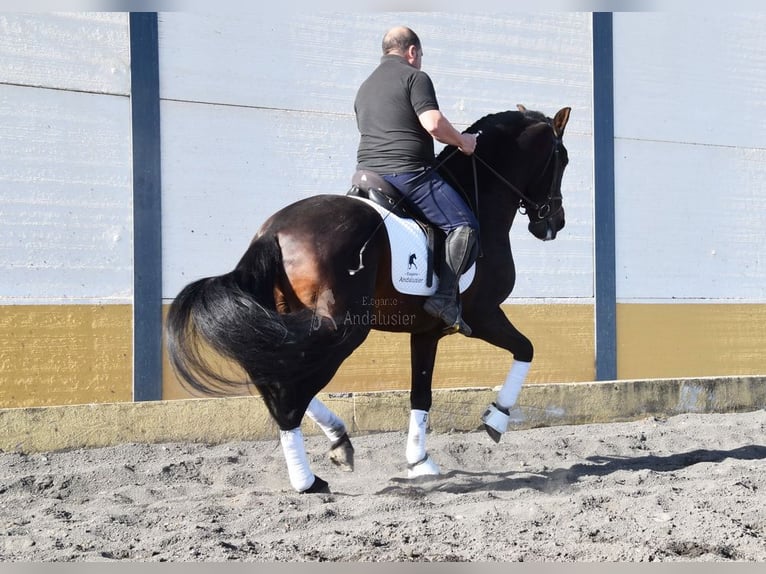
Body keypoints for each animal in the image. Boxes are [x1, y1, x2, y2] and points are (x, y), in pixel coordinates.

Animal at [166, 104, 568, 496]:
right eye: (562, 160)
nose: (555, 224)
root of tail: (273, 231)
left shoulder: (427, 331)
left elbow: (421, 394)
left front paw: (419, 462)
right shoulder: (482, 315)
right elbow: (526, 348)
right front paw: (496, 418)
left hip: (292, 324)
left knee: (276, 371)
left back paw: (337, 439)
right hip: (342, 330)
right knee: (288, 392)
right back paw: (308, 480)